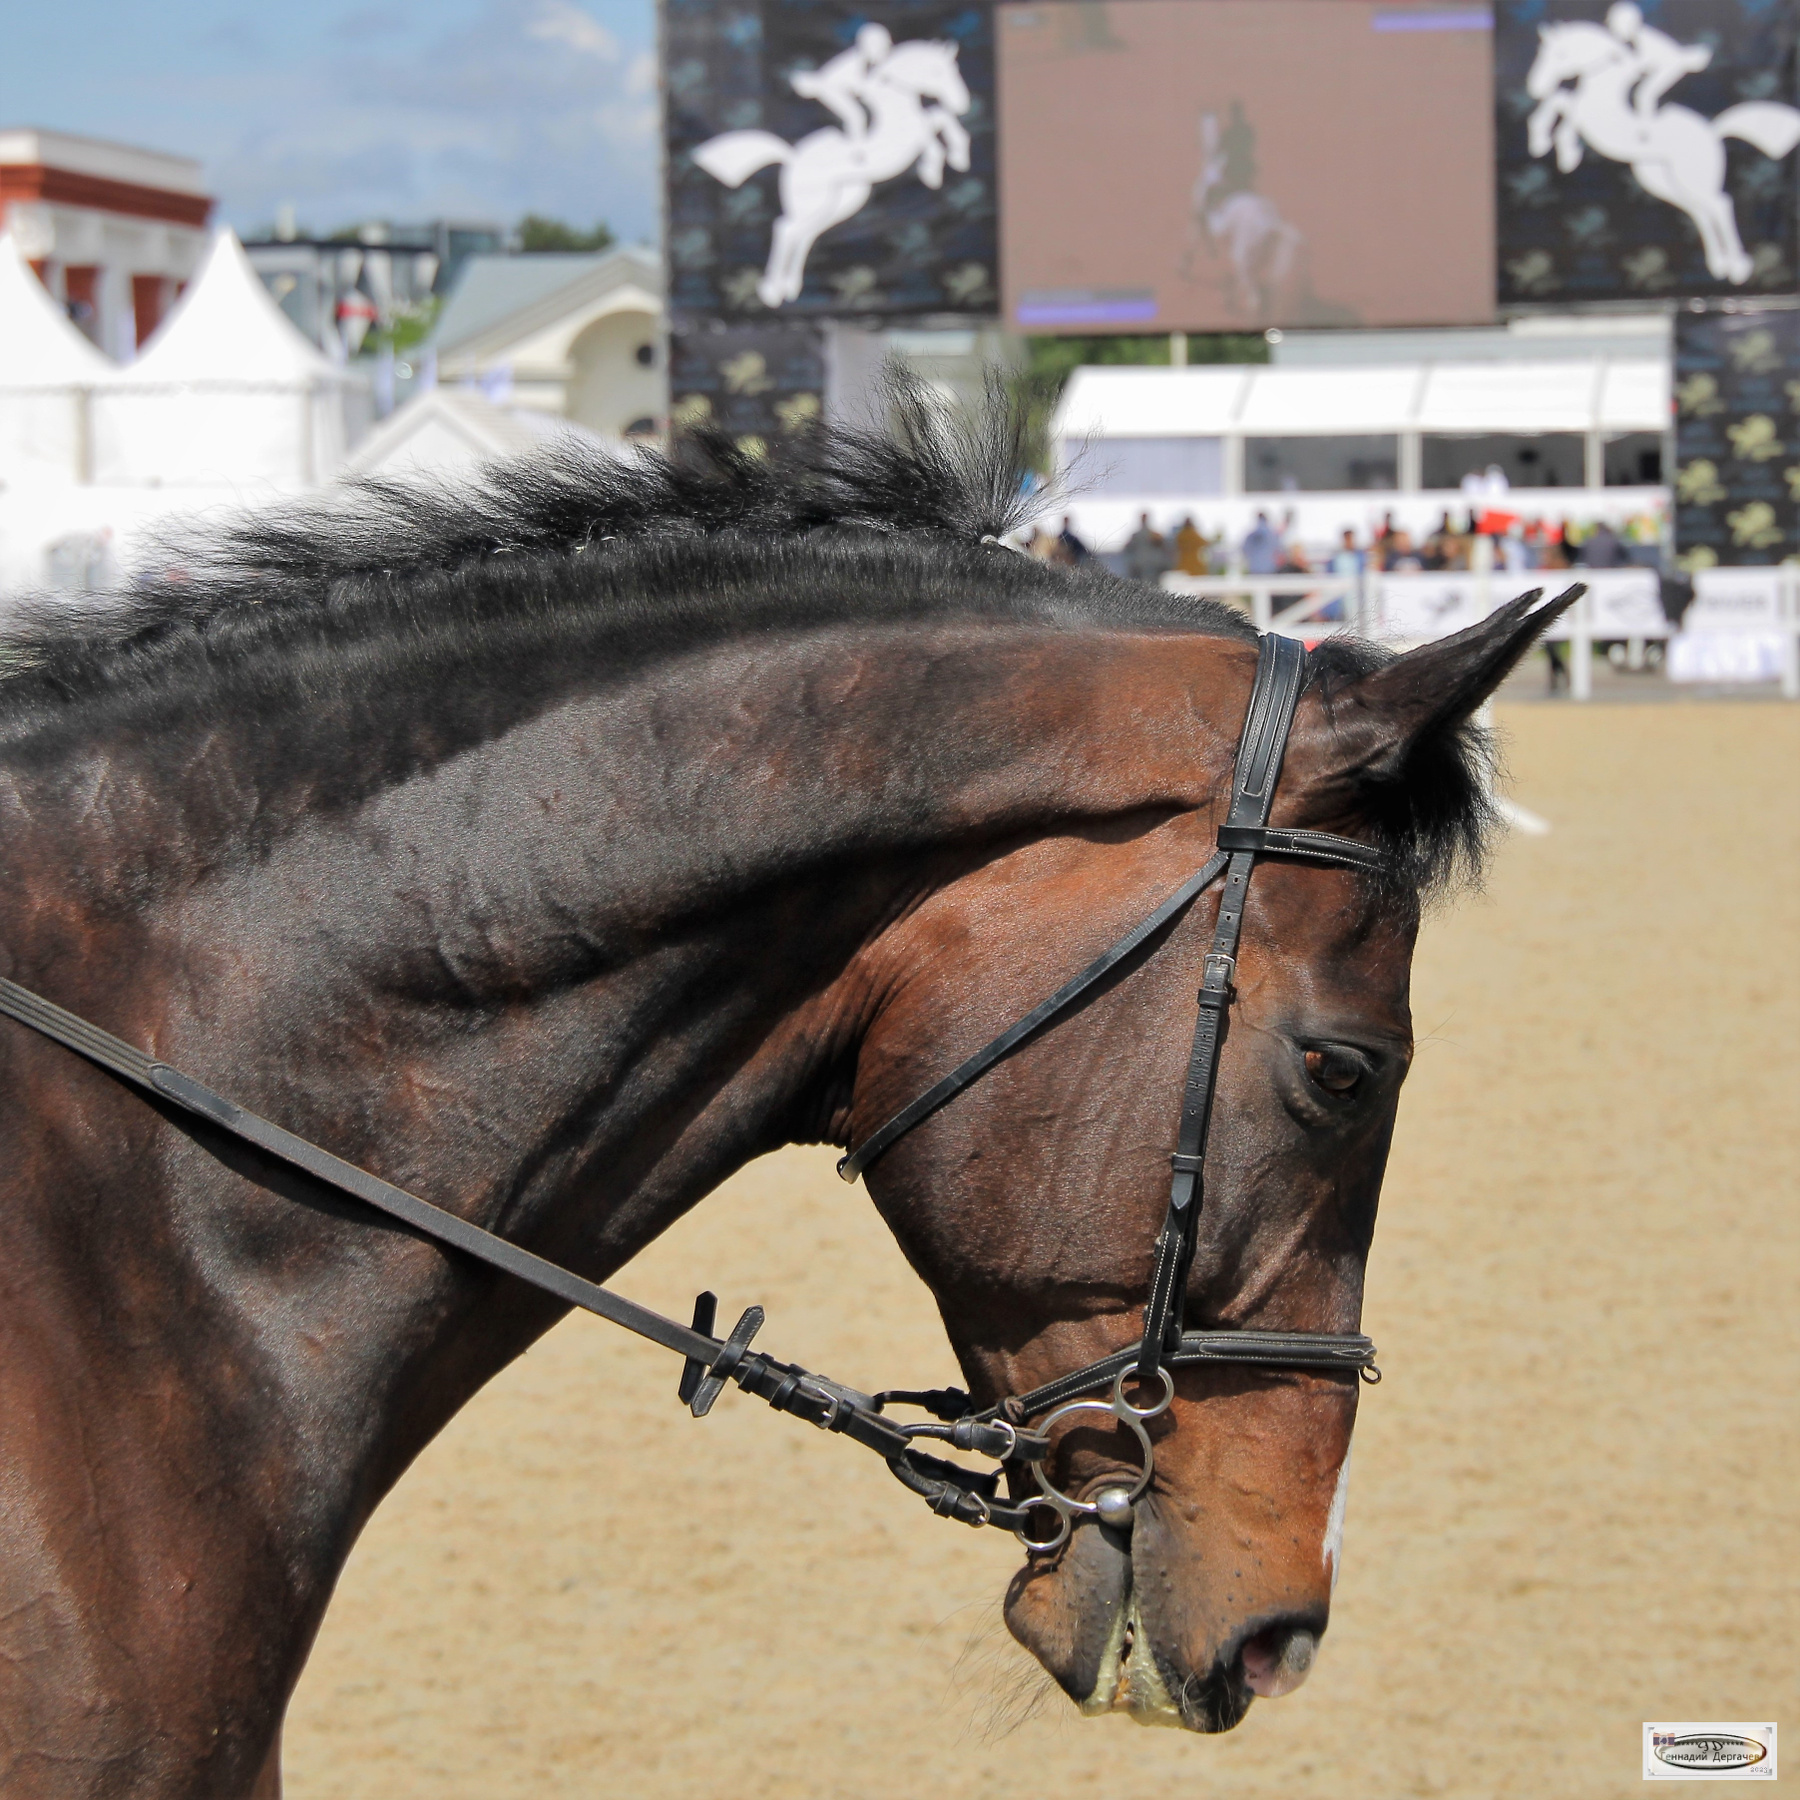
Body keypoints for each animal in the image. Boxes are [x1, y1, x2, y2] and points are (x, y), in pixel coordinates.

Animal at [691, 38, 971, 307]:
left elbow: (939, 118)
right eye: (937, 71)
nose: (963, 105)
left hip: (842, 201)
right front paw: (933, 168)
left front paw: (956, 157)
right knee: (786, 229)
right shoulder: (908, 136)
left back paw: (789, 288)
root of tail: (792, 158)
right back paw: (771, 291)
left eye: (956, 70)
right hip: (812, 202)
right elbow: (933, 127)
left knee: (805, 234)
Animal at [1524, 20, 1800, 285]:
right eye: (1540, 53)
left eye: (1560, 54)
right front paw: (1543, 143)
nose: (1535, 88)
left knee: (1720, 205)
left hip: (1693, 178)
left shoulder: (1590, 114)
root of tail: (1712, 132)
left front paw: (1566, 152)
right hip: (1662, 180)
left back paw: (1739, 267)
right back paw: (1721, 265)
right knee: (1700, 211)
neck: (1602, 79)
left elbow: (1565, 107)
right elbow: (1559, 101)